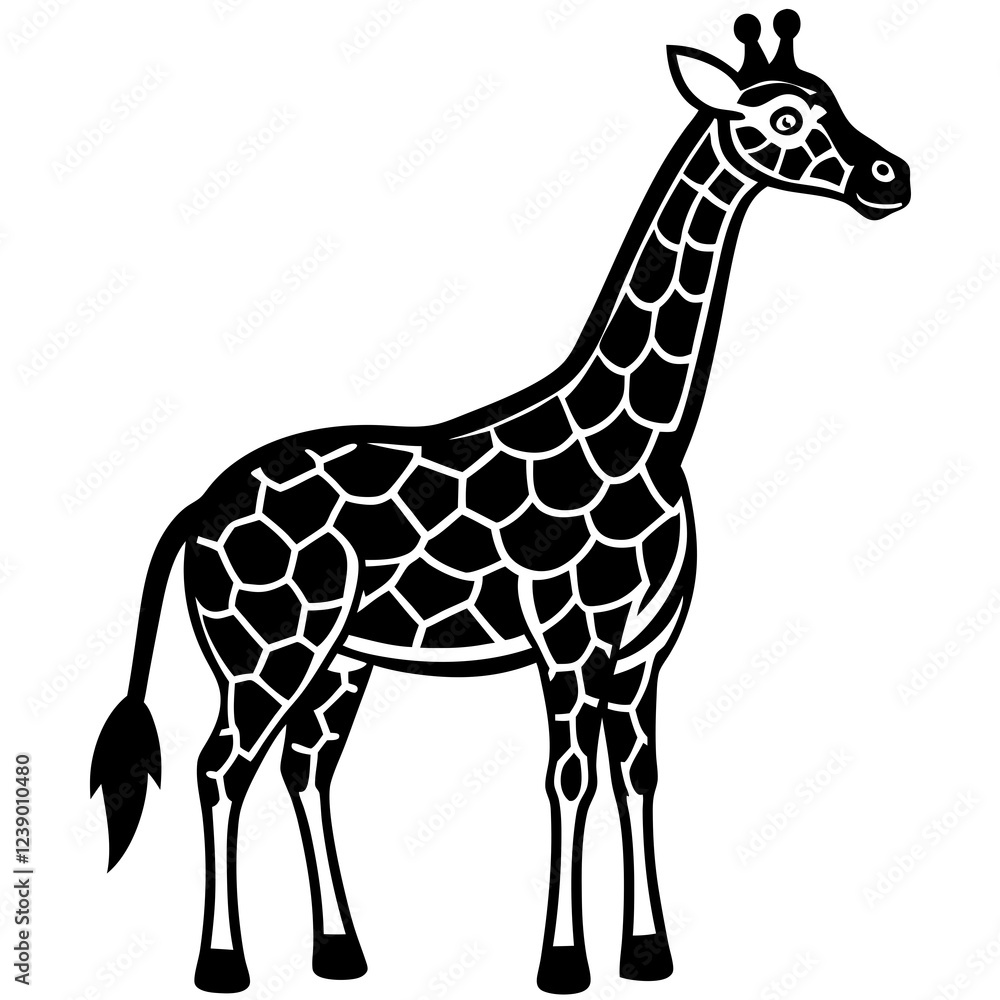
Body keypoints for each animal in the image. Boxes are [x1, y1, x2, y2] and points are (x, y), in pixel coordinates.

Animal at [91, 11, 910, 995]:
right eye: (785, 117)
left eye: (833, 98)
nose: (892, 178)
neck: (644, 435)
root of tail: (196, 508)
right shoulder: (570, 636)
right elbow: (569, 778)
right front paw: (563, 962)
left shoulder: (643, 653)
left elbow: (639, 777)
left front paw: (648, 953)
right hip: (265, 653)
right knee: (221, 769)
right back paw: (224, 964)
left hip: (340, 660)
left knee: (305, 768)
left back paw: (341, 952)